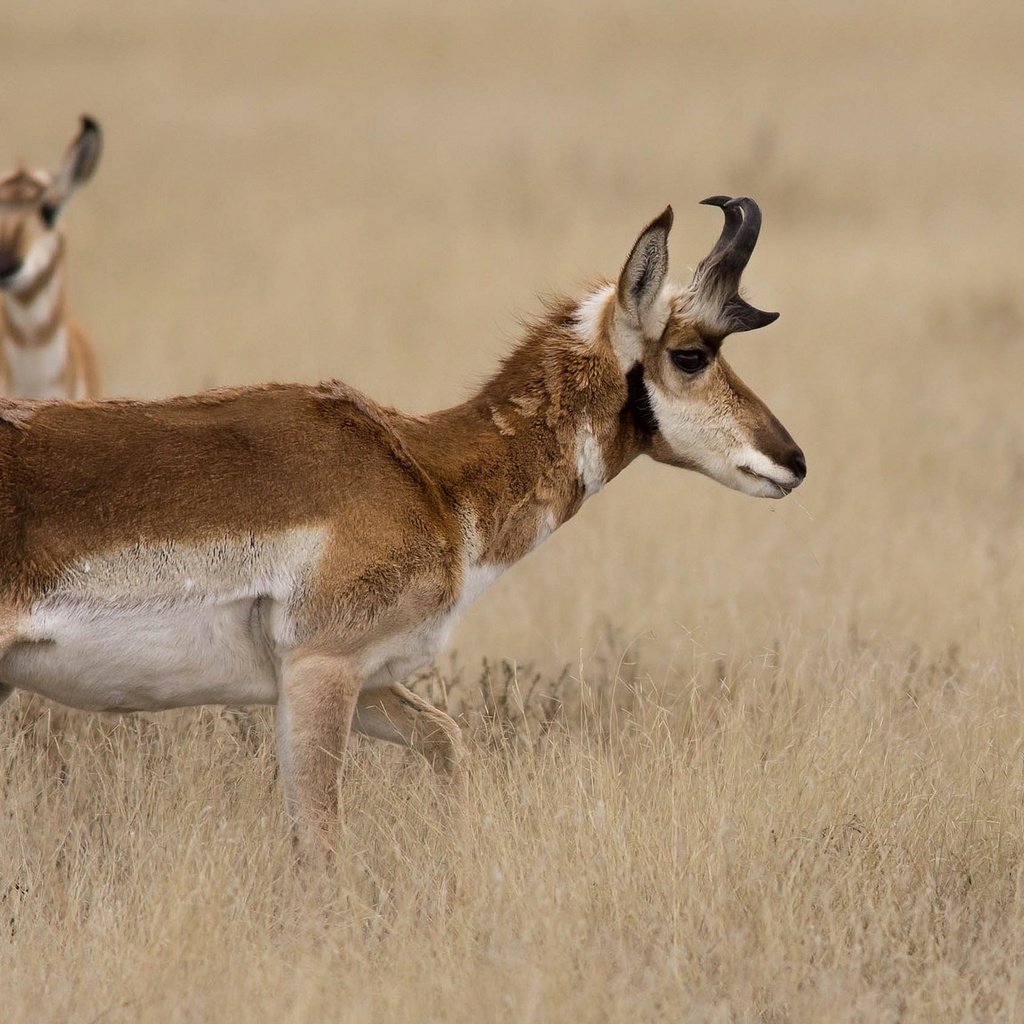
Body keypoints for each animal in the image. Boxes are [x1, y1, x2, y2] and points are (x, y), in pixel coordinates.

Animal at [0, 195, 802, 843]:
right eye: (691, 354)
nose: (792, 460)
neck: (427, 474)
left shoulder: (368, 679)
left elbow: (448, 741)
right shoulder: (321, 669)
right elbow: (323, 844)